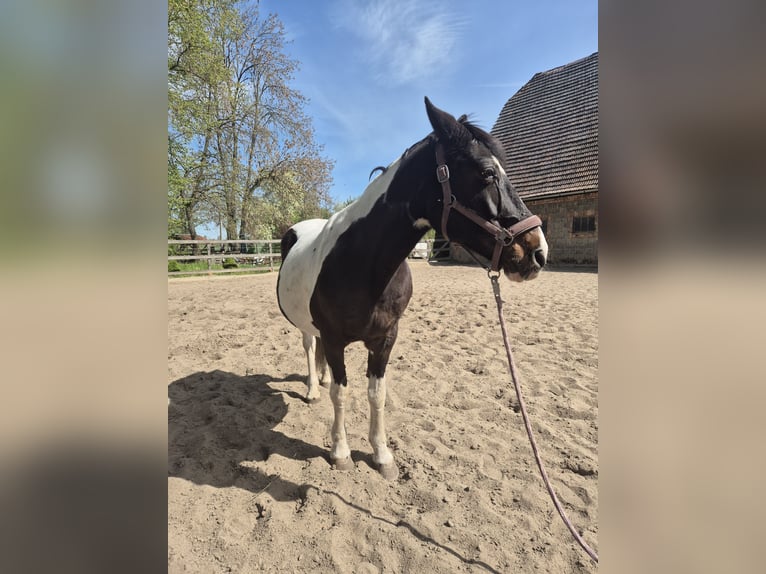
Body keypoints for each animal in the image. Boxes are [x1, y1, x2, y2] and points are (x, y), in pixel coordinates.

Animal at [276, 98, 548, 480]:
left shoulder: (386, 338)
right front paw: (340, 451)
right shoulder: (334, 338)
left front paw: (382, 455)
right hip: (307, 327)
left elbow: (377, 394)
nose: (538, 252)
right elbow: (342, 394)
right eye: (487, 173)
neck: (361, 263)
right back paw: (315, 388)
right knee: (308, 347)